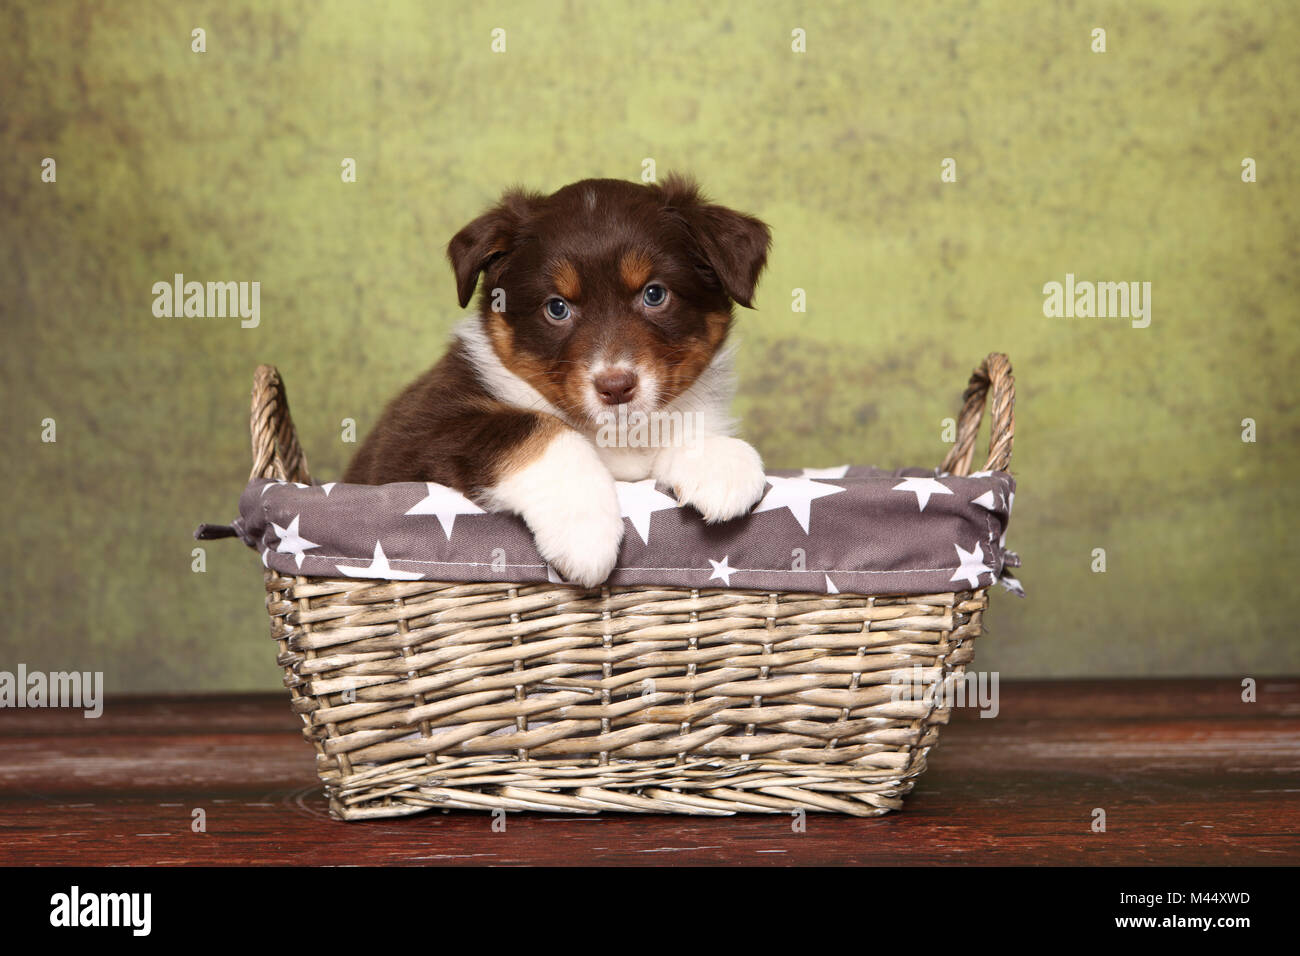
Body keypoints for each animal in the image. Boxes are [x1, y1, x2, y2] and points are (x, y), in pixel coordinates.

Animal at [345, 175, 769, 587]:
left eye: (654, 294)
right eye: (557, 308)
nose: (616, 387)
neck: (616, 438)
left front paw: (719, 461)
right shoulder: (415, 433)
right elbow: (535, 427)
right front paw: (585, 534)